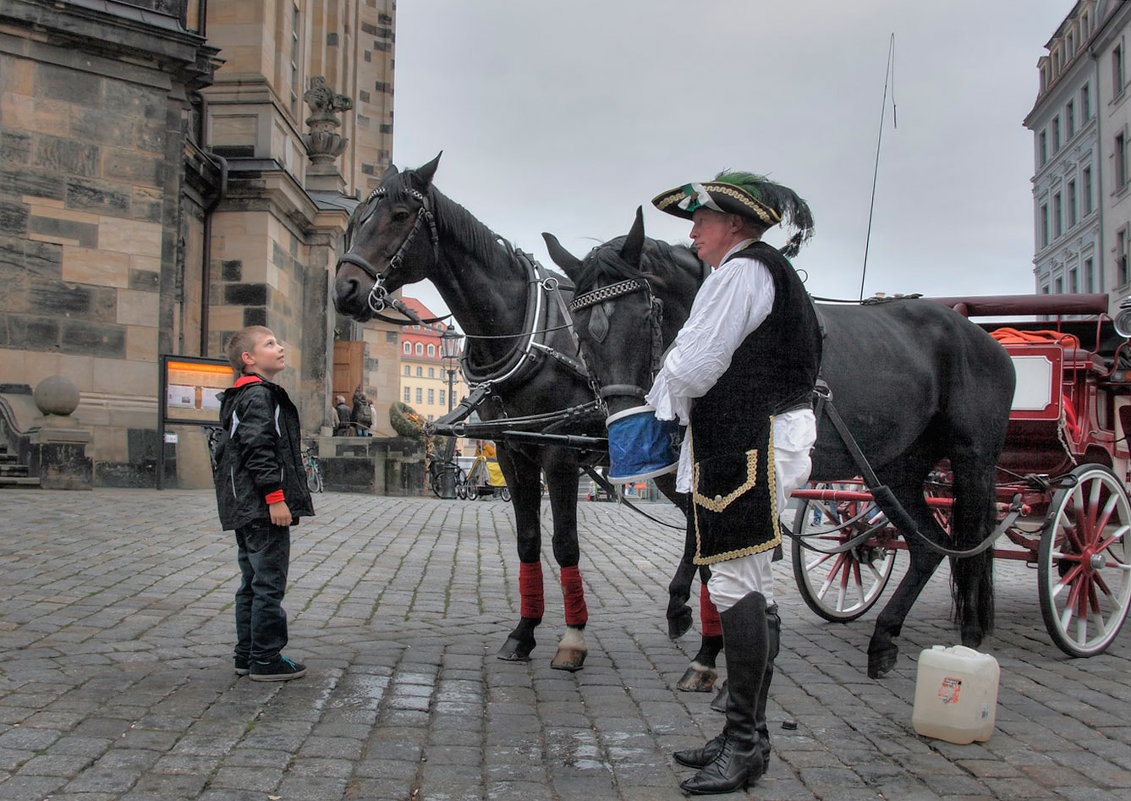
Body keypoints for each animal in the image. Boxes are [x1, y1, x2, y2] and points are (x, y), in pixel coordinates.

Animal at [330, 153, 710, 674]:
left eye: (400, 216)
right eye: (356, 221)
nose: (346, 289)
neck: (523, 333)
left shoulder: (560, 456)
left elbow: (564, 543)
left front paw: (573, 637)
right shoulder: (513, 451)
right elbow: (528, 540)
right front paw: (524, 630)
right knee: (694, 518)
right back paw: (678, 606)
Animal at [542, 208, 1022, 674]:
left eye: (645, 316)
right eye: (578, 330)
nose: (622, 421)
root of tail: (982, 337)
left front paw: (712, 649)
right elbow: (704, 546)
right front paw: (701, 625)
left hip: (972, 462)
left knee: (970, 545)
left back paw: (970, 635)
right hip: (896, 470)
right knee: (926, 547)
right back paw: (885, 638)